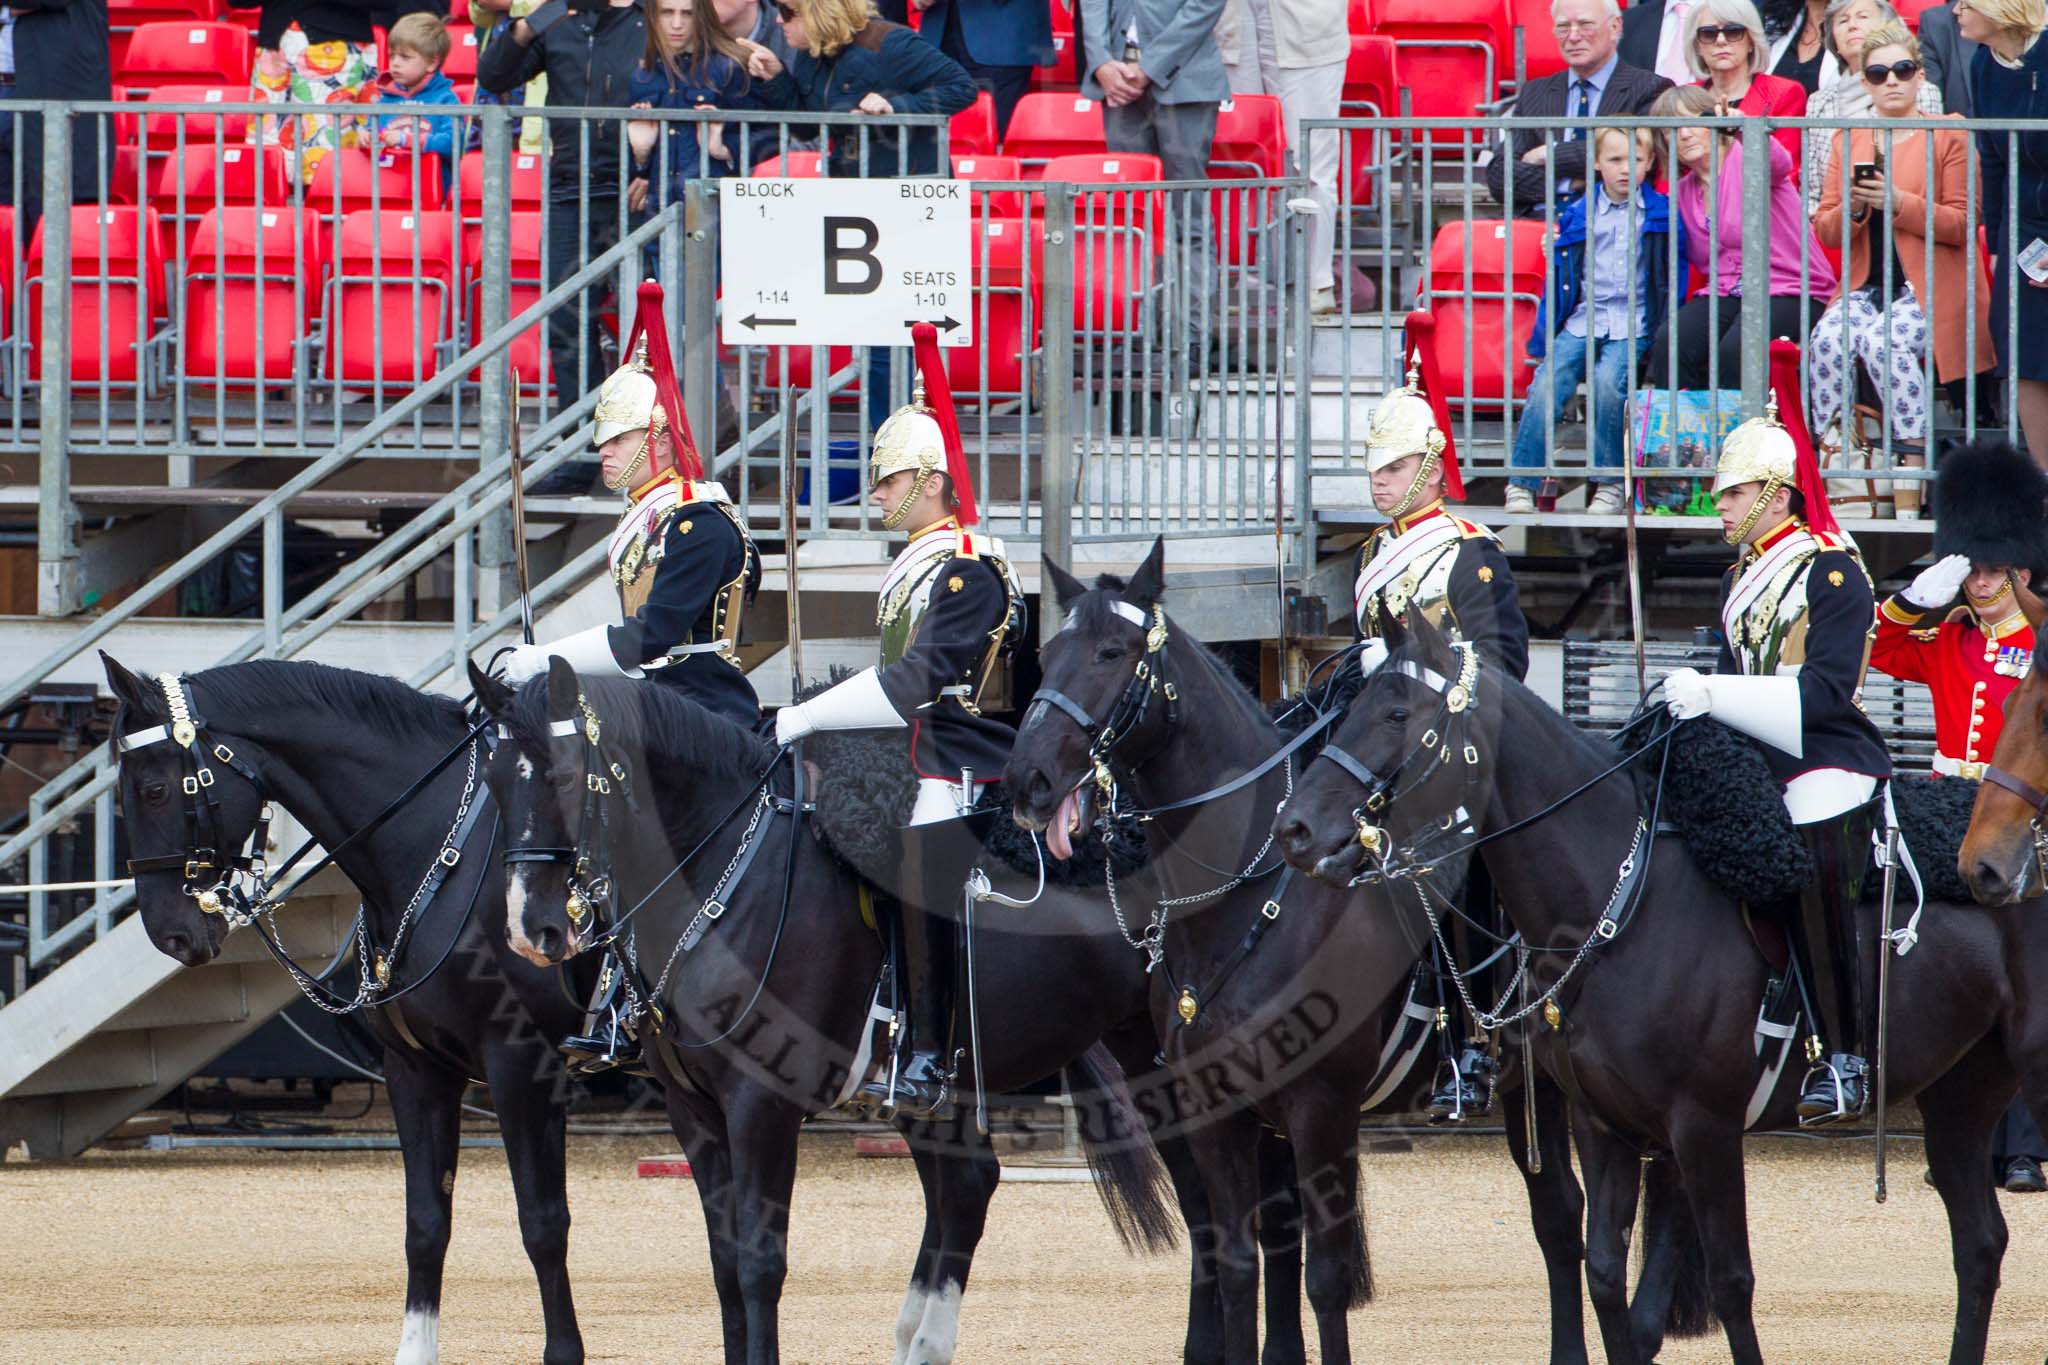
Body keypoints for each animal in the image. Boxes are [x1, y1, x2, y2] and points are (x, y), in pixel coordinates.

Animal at [102, 654, 593, 1358]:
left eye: (154, 790)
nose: (168, 933)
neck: (440, 855)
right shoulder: (417, 1071)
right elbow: (426, 1223)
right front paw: (415, 1351)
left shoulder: (523, 1067)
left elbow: (543, 1223)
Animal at [471, 658, 1310, 1365]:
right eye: (498, 783)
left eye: (568, 775)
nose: (529, 928)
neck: (726, 868)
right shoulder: (694, 1110)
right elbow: (724, 1260)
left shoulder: (761, 1105)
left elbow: (760, 1262)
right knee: (982, 1188)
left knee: (1211, 1205)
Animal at [999, 544, 1703, 1365]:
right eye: (1047, 654)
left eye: (1111, 653)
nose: (1028, 780)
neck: (1249, 898)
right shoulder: (1216, 1109)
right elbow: (1242, 1261)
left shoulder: (1320, 1109)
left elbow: (1324, 1277)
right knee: (1561, 1221)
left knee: (1598, 1210)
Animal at [1269, 613, 2048, 1358]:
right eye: (1353, 706)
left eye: (1398, 713)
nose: (1296, 829)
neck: (1615, 896)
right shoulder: (1604, 1125)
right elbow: (1605, 1275)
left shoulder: (1703, 1128)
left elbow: (1731, 1283)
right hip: (1960, 1090)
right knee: (1980, 1245)